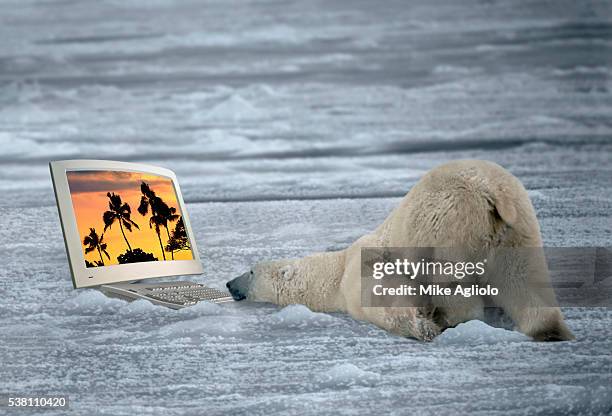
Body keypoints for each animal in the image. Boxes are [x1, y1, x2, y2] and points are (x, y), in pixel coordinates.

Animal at [225, 159, 572, 342]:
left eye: (251, 269)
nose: (229, 283)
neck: (335, 271)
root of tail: (491, 192)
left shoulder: (362, 270)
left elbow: (384, 299)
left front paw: (422, 325)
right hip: (518, 230)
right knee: (524, 280)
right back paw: (549, 330)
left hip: (446, 226)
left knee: (453, 283)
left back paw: (450, 319)